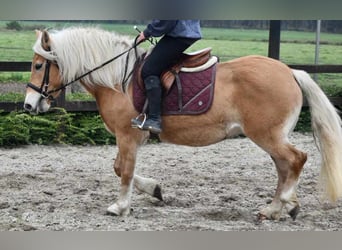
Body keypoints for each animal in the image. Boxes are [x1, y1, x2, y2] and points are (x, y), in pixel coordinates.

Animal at [24, 26, 342, 220]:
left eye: (39, 65)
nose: (28, 104)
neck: (116, 79)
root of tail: (290, 72)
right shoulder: (133, 137)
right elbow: (119, 168)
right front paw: (154, 189)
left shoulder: (127, 135)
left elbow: (125, 170)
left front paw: (120, 206)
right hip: (271, 137)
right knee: (285, 167)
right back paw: (279, 208)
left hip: (268, 135)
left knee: (297, 159)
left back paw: (282, 203)